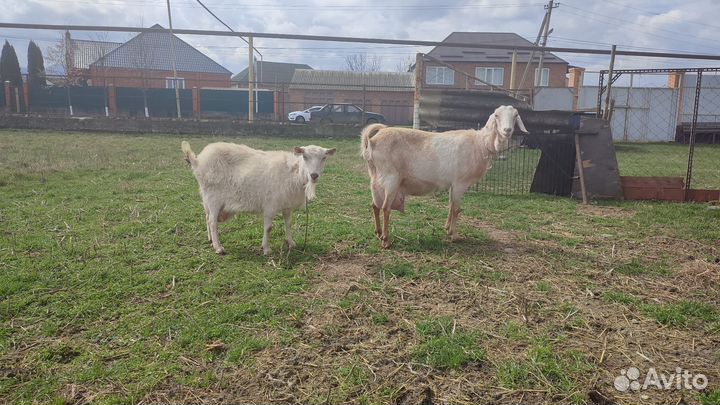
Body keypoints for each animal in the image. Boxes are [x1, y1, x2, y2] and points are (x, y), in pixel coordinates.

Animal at [182, 141, 336, 255]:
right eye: (305, 157)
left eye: (324, 158)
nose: (314, 175)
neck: (294, 173)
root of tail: (197, 161)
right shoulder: (270, 205)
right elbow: (268, 228)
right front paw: (266, 249)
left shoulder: (287, 205)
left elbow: (288, 224)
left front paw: (291, 243)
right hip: (214, 198)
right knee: (212, 221)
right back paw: (218, 247)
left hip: (206, 198)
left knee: (207, 217)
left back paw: (210, 240)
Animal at [360, 105, 528, 248]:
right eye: (497, 115)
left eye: (515, 116)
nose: (507, 130)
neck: (480, 144)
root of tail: (371, 141)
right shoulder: (460, 183)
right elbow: (456, 209)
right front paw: (454, 235)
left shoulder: (453, 184)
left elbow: (450, 205)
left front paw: (447, 228)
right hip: (391, 179)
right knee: (385, 208)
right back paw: (386, 241)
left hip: (375, 179)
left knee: (375, 205)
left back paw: (378, 233)